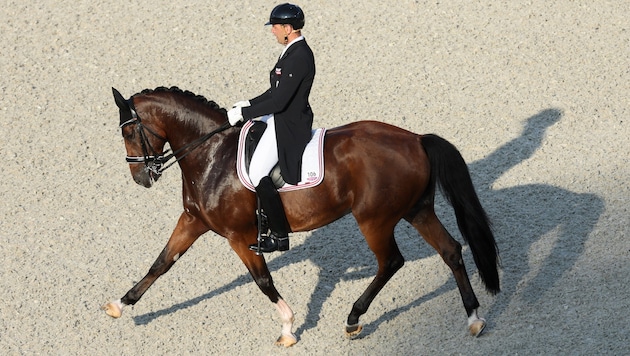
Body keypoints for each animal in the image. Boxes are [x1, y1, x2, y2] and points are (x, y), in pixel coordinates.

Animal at [101, 86, 502, 348]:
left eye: (128, 130)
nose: (141, 177)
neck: (211, 153)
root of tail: (416, 139)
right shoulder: (193, 221)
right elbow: (161, 263)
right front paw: (120, 305)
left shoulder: (237, 235)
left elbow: (262, 281)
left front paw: (288, 328)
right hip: (416, 211)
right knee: (450, 251)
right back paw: (474, 318)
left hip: (374, 220)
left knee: (391, 261)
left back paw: (354, 319)